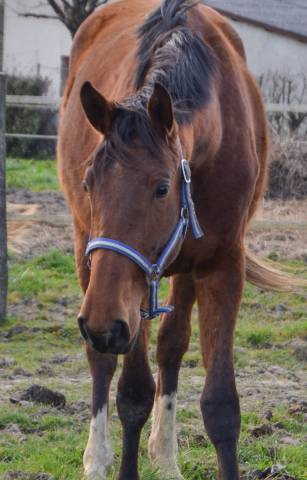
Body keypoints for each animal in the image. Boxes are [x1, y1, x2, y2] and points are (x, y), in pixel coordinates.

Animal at [56, 0, 304, 480]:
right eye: (89, 182)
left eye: (162, 188)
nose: (100, 322)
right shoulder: (124, 292)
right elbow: (132, 394)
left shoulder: (221, 265)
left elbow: (220, 405)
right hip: (88, 258)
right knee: (102, 361)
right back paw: (96, 459)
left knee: (170, 346)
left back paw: (166, 456)